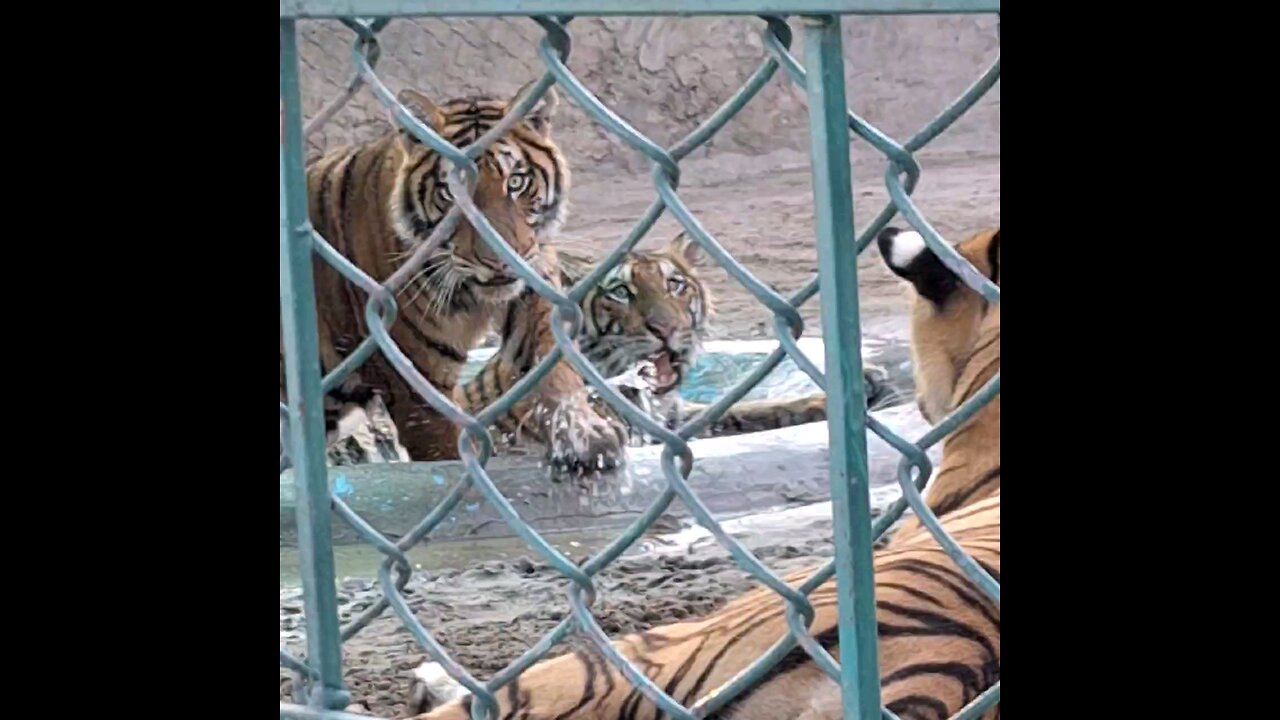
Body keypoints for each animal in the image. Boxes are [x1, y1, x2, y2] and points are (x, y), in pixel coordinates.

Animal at [289, 83, 629, 471]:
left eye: (516, 181)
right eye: (451, 191)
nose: (498, 260)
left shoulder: (537, 300)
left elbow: (556, 374)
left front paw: (586, 436)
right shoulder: (418, 388)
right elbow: (447, 451)